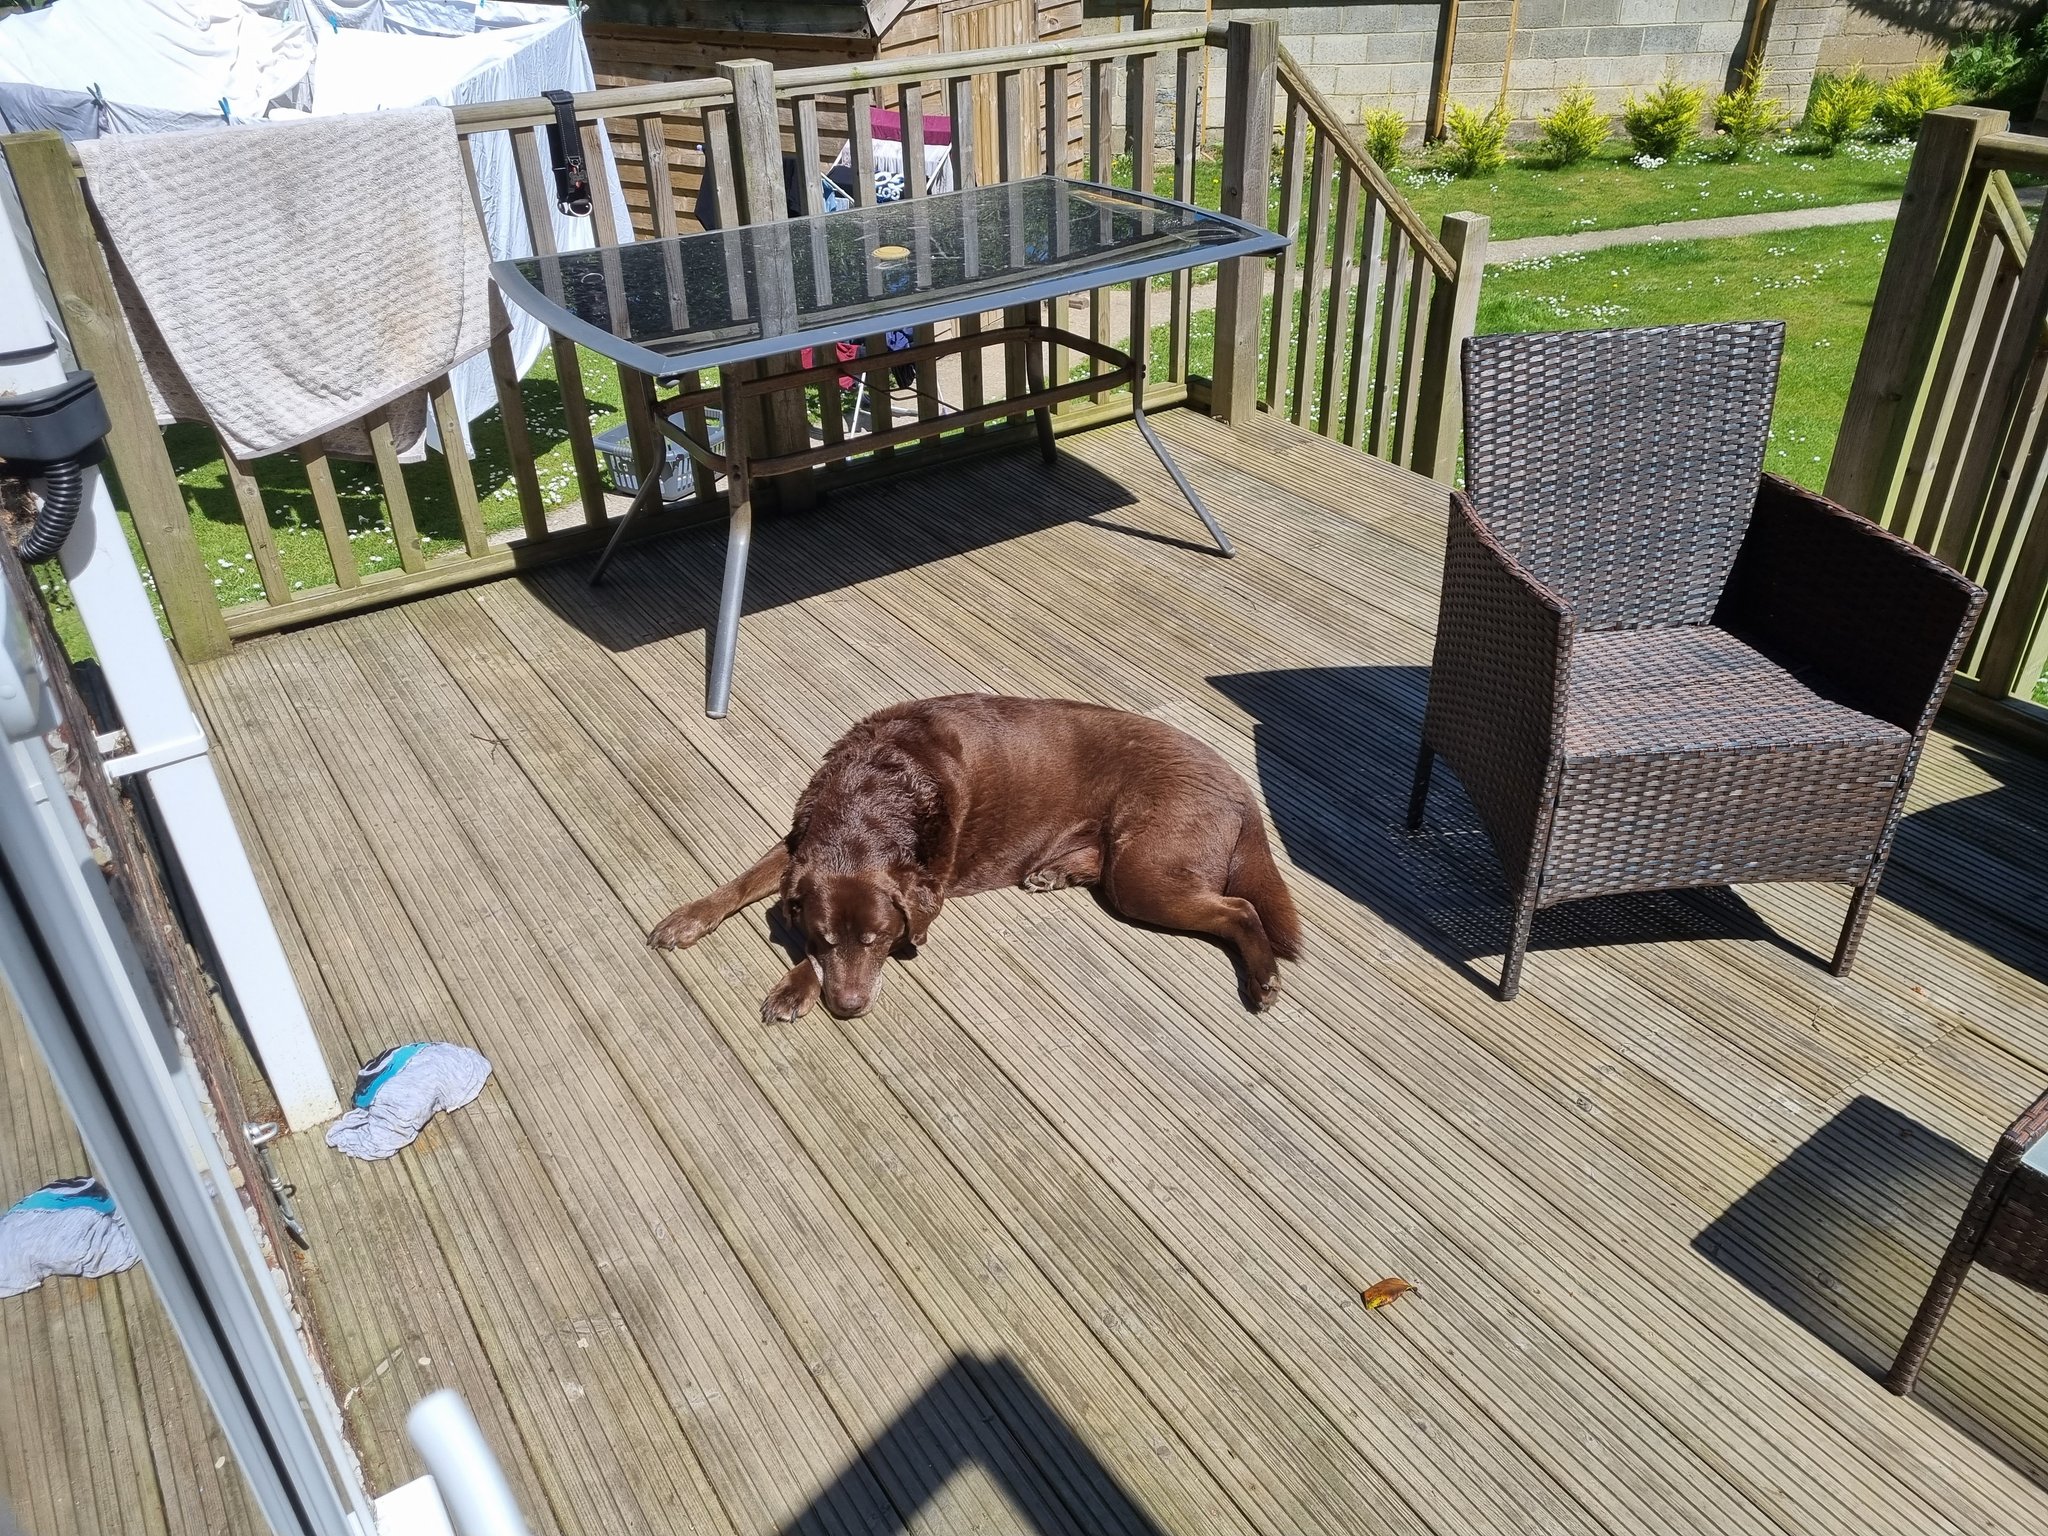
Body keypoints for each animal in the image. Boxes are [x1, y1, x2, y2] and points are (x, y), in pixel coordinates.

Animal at [649, 694, 1301, 1020]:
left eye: (879, 940)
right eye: (827, 937)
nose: (850, 1008)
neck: (872, 797)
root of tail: (1239, 783)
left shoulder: (922, 886)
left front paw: (795, 988)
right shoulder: (799, 840)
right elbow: (743, 882)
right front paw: (688, 918)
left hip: (1146, 871)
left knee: (1240, 907)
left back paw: (1264, 978)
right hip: (1129, 868)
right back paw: (1055, 870)